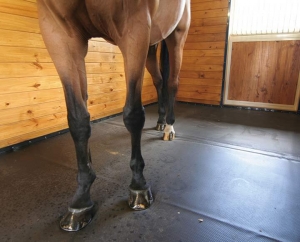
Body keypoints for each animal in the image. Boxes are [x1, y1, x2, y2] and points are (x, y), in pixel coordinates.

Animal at [37, 0, 190, 231]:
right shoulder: (59, 34)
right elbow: (78, 119)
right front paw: (81, 200)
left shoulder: (135, 27)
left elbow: (133, 115)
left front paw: (139, 186)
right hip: (151, 47)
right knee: (159, 81)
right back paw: (161, 122)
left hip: (176, 36)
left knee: (172, 83)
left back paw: (170, 128)